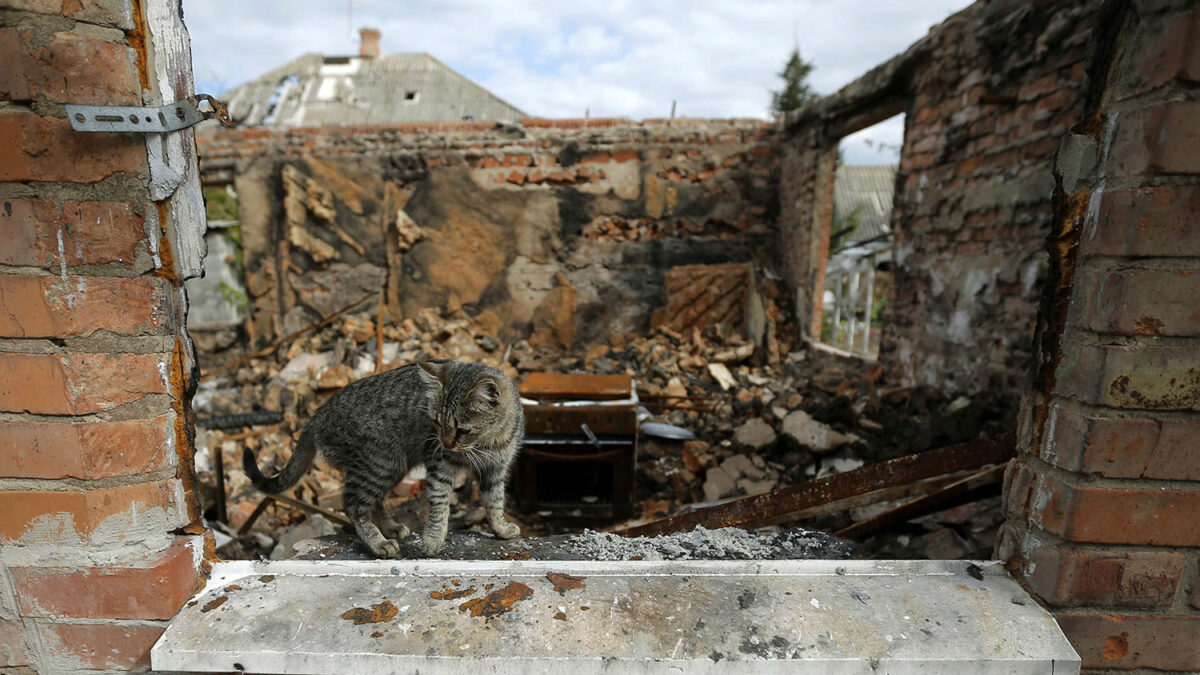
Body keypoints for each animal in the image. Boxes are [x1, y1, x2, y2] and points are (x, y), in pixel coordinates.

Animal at [241, 360, 523, 554]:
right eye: (436, 422)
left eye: (462, 430)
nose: (445, 442)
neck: (487, 443)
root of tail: (316, 416)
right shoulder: (439, 464)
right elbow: (439, 503)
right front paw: (433, 539)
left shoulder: (496, 469)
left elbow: (495, 502)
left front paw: (501, 528)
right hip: (381, 462)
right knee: (353, 503)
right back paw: (378, 542)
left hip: (390, 466)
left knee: (372, 501)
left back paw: (390, 528)